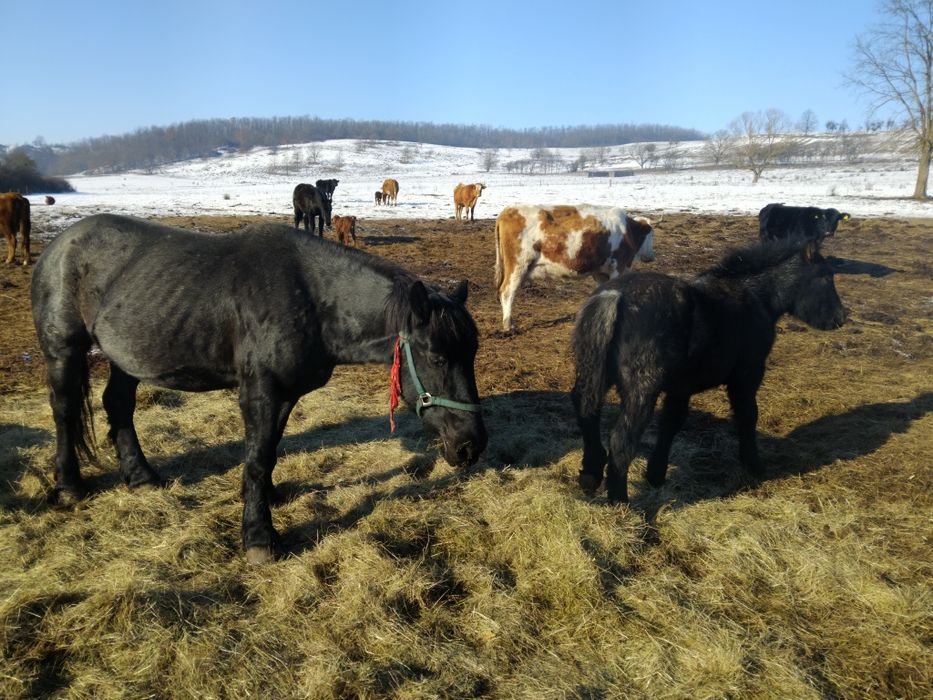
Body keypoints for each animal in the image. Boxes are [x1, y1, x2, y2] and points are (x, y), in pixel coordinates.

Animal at [31, 214, 488, 564]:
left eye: (472, 353)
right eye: (438, 356)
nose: (471, 446)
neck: (311, 300)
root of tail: (59, 245)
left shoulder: (284, 394)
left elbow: (267, 455)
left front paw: (267, 497)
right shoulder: (261, 392)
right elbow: (256, 458)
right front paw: (259, 538)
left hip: (129, 355)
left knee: (119, 406)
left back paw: (141, 477)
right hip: (63, 348)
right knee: (64, 410)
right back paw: (69, 486)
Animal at [494, 204, 656, 332]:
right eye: (650, 234)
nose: (651, 256)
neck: (628, 231)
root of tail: (508, 210)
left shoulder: (601, 272)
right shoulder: (618, 267)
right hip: (518, 265)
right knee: (507, 291)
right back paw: (508, 324)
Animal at [571, 238, 847, 503]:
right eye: (825, 277)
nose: (841, 318)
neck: (755, 298)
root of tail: (613, 296)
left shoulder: (681, 388)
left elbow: (671, 423)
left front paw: (656, 475)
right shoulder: (747, 376)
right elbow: (747, 416)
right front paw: (754, 465)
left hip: (595, 377)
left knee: (587, 414)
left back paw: (590, 475)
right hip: (642, 391)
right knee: (621, 440)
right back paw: (620, 502)